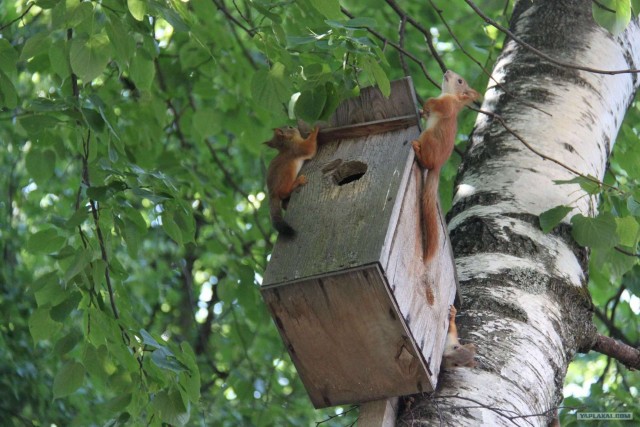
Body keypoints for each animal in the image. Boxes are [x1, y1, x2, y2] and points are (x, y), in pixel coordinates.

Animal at [412, 71, 478, 260]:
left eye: (460, 81)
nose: (447, 71)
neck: (449, 94)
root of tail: (437, 166)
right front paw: (422, 112)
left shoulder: (448, 104)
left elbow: (438, 105)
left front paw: (427, 104)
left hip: (428, 138)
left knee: (425, 161)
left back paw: (417, 149)